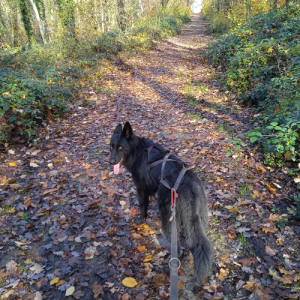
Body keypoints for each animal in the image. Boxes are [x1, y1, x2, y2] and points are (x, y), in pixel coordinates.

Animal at [109, 121, 213, 278]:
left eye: (120, 147)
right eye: (111, 146)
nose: (110, 161)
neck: (137, 151)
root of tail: (187, 184)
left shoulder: (141, 189)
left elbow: (142, 206)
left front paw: (141, 220)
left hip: (167, 216)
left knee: (179, 249)